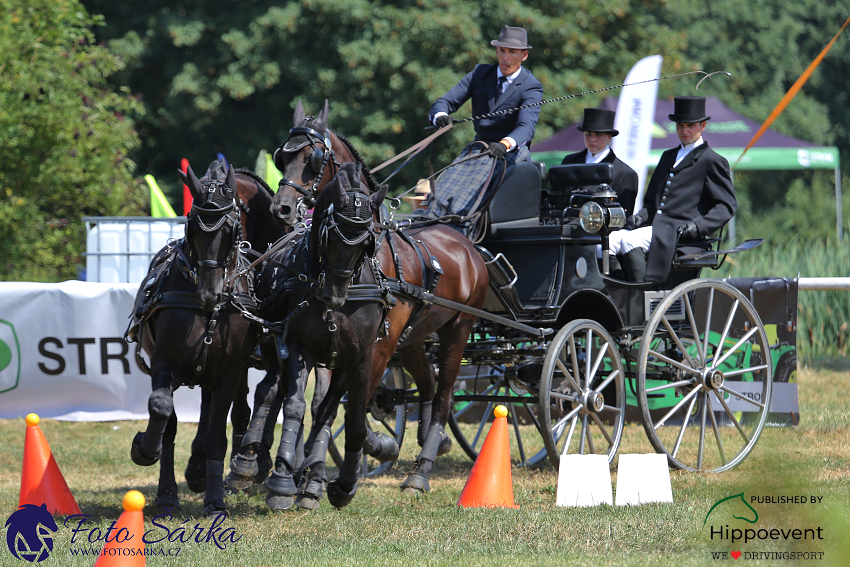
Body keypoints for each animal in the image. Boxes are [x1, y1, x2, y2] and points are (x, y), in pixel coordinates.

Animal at [128, 161, 262, 520]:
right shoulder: (163, 363)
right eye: (192, 227)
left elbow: (217, 435)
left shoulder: (229, 372)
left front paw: (215, 500)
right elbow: (162, 411)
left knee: (215, 411)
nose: (209, 292)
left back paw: (201, 469)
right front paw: (148, 454)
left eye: (230, 230)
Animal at [264, 103, 490, 502]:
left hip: (457, 331)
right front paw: (301, 477)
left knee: (445, 395)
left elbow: (346, 406)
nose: (282, 209)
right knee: (428, 384)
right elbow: (313, 405)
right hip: (413, 340)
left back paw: (421, 471)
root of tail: (465, 242)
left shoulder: (373, 350)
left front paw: (348, 462)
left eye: (313, 159)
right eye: (281, 157)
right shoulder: (312, 344)